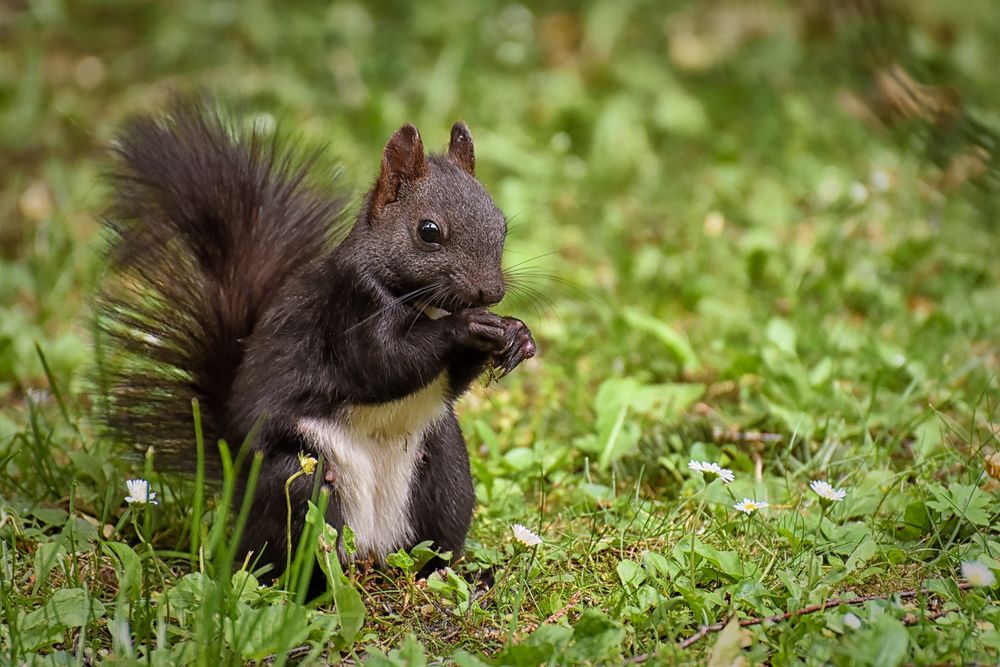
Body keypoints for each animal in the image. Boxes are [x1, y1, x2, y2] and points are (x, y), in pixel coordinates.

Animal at [99, 98, 540, 584]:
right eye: (429, 231)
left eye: (501, 226)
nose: (490, 292)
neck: (425, 303)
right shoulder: (348, 307)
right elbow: (383, 364)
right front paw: (467, 328)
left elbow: (448, 381)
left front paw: (516, 334)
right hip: (299, 481)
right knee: (288, 549)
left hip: (446, 472)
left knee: (429, 543)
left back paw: (452, 577)